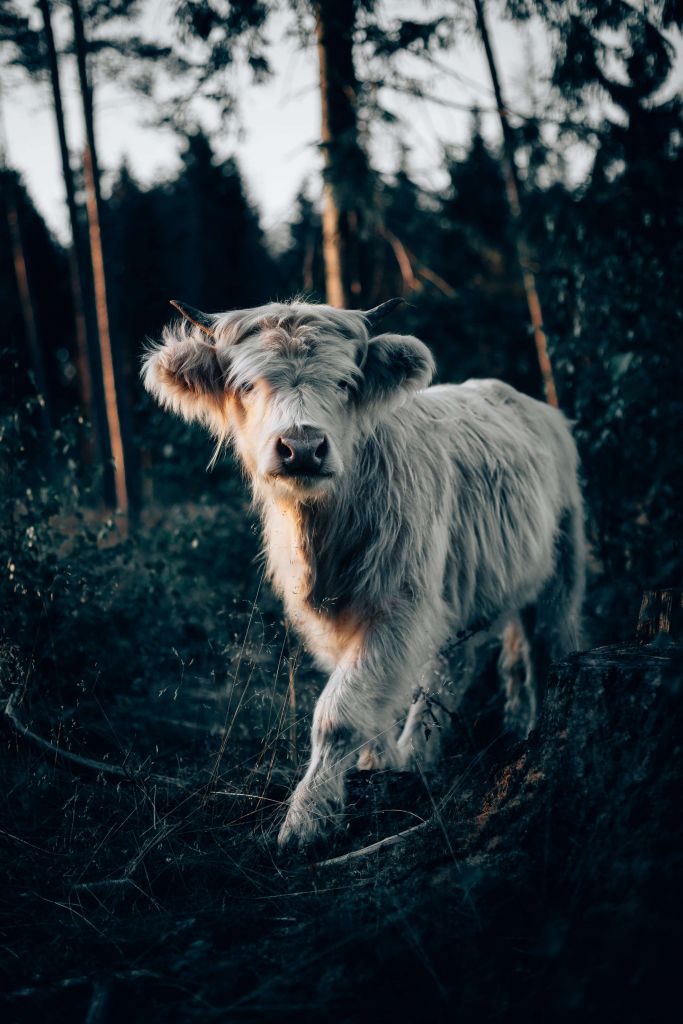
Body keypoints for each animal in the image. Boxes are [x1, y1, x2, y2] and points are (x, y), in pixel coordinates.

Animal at [141, 296, 585, 847]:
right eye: (247, 385)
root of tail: (529, 403)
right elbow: (366, 695)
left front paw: (306, 818)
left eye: (343, 382)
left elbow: (339, 712)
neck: (324, 533)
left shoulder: (400, 604)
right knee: (469, 662)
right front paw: (378, 765)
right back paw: (440, 749)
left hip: (564, 560)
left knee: (549, 642)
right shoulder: (333, 620)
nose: (302, 447)